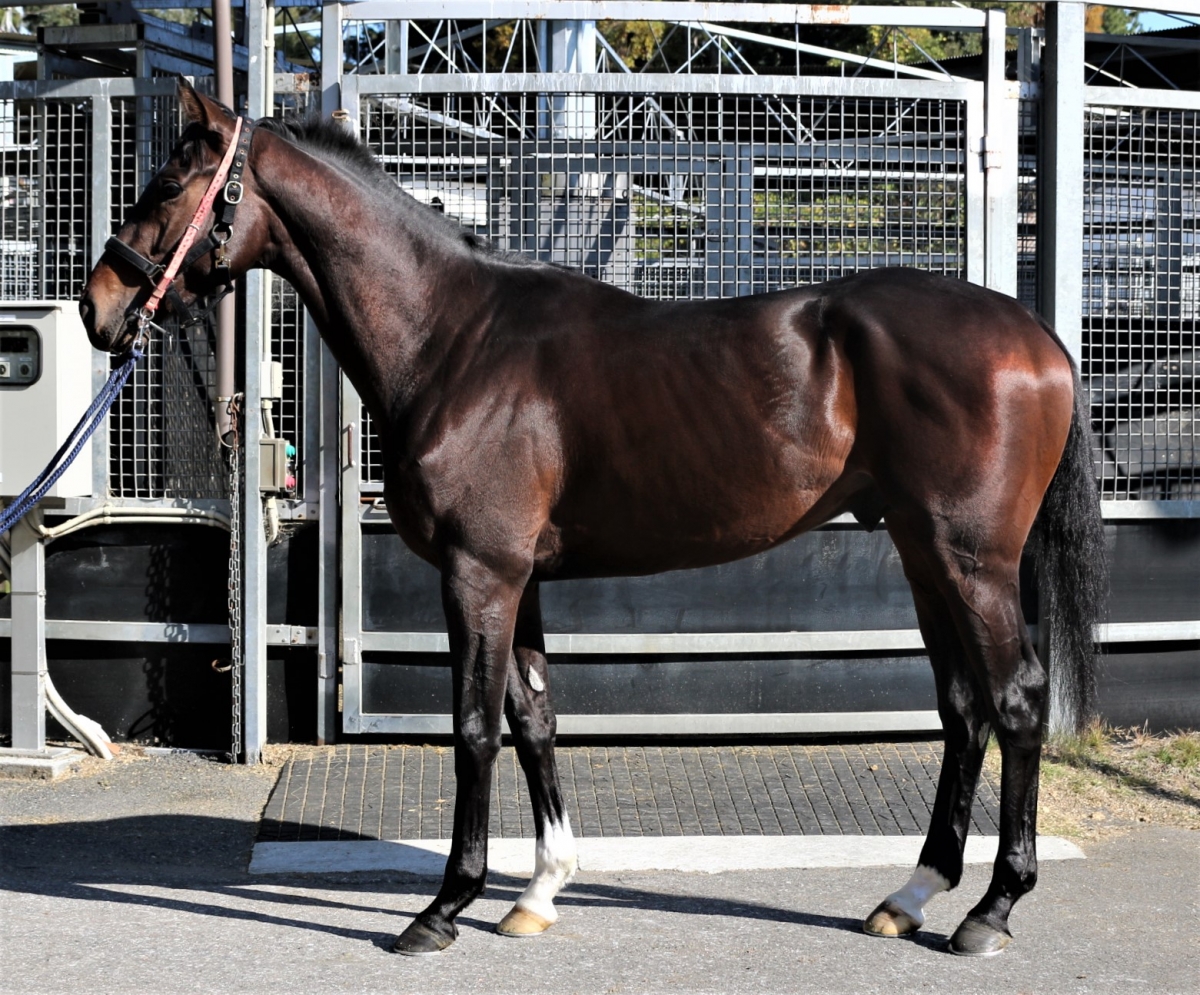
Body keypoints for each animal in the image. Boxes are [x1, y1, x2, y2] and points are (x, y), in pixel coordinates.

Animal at [77, 81, 1104, 960]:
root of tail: (1038, 337)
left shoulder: (479, 572)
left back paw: (990, 909)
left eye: (166, 184)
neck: (455, 338)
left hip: (971, 560)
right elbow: (534, 717)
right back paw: (912, 893)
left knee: (1016, 699)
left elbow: (474, 728)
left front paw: (444, 906)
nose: (99, 307)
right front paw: (537, 891)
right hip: (925, 554)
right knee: (963, 707)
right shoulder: (517, 576)